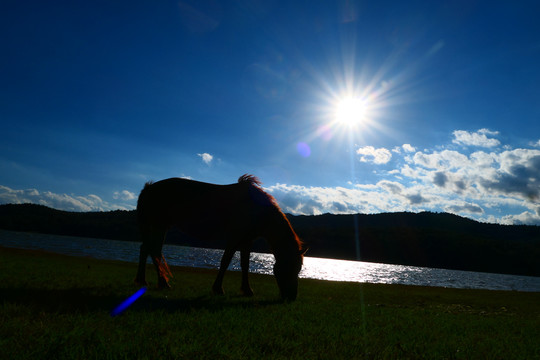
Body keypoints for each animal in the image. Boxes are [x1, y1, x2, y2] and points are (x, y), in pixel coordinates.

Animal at [133, 174, 306, 300]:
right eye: (290, 267)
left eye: (298, 269)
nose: (292, 297)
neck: (257, 209)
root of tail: (148, 188)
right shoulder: (234, 237)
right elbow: (225, 261)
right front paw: (218, 289)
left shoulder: (246, 241)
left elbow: (245, 265)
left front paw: (247, 290)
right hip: (158, 225)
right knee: (152, 250)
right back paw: (161, 283)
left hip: (161, 227)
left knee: (148, 249)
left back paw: (147, 281)